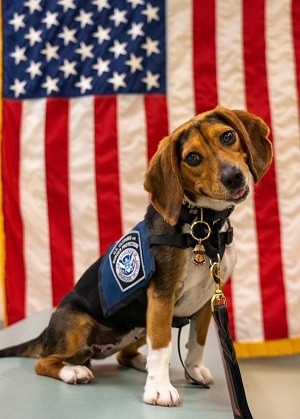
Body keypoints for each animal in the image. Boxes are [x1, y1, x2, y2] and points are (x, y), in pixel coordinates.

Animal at [0, 105, 272, 406]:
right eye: (192, 158)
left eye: (228, 137)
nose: (233, 176)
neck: (203, 226)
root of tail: (48, 333)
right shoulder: (162, 297)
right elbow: (163, 344)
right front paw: (160, 388)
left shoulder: (206, 300)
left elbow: (196, 343)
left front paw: (193, 370)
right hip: (78, 325)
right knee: (46, 362)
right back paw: (73, 371)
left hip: (140, 323)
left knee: (124, 354)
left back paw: (142, 362)